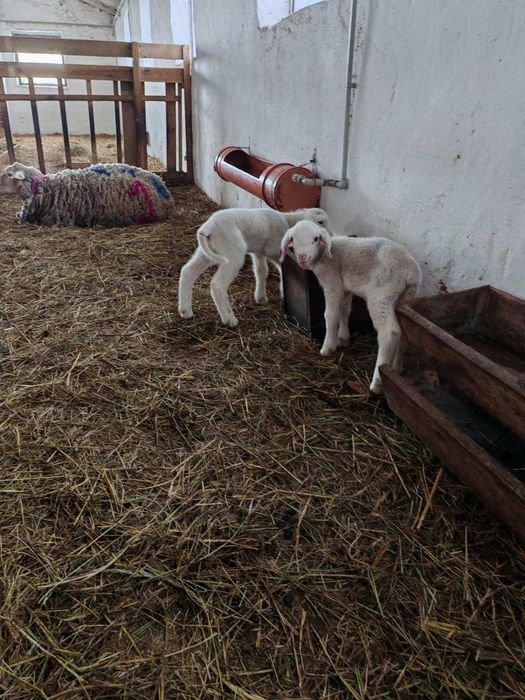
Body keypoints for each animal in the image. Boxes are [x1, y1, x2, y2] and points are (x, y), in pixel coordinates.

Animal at [178, 207, 333, 327]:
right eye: (320, 222)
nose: (330, 236)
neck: (288, 221)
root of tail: (208, 227)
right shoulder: (275, 251)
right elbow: (282, 271)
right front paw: (283, 291)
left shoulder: (258, 252)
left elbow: (261, 272)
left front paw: (260, 297)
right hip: (232, 252)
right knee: (217, 285)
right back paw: (229, 319)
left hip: (207, 252)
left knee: (188, 271)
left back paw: (185, 310)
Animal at [280, 221, 422, 394]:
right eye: (292, 239)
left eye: (315, 239)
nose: (302, 258)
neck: (325, 256)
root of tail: (411, 271)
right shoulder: (345, 288)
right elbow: (344, 310)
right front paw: (343, 338)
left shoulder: (332, 283)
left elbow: (331, 315)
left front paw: (328, 347)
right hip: (407, 296)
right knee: (402, 332)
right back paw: (396, 367)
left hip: (381, 294)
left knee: (390, 332)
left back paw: (377, 382)